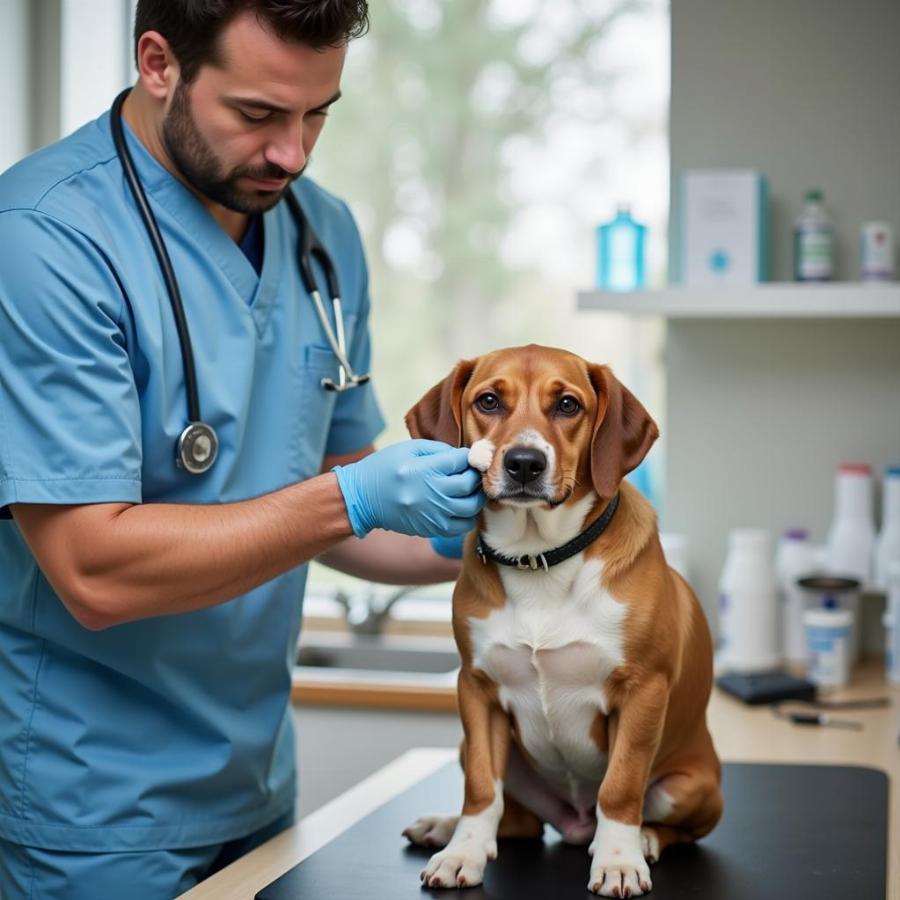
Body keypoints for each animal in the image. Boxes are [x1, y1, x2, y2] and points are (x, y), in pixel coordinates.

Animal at [404, 342, 720, 892]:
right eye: (489, 400)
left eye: (568, 405)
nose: (524, 463)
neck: (541, 560)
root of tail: (574, 822)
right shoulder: (477, 689)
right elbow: (481, 790)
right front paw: (462, 853)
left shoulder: (644, 691)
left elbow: (620, 787)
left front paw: (618, 860)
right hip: (476, 750)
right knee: (517, 821)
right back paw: (443, 827)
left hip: (690, 788)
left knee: (669, 824)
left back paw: (645, 840)